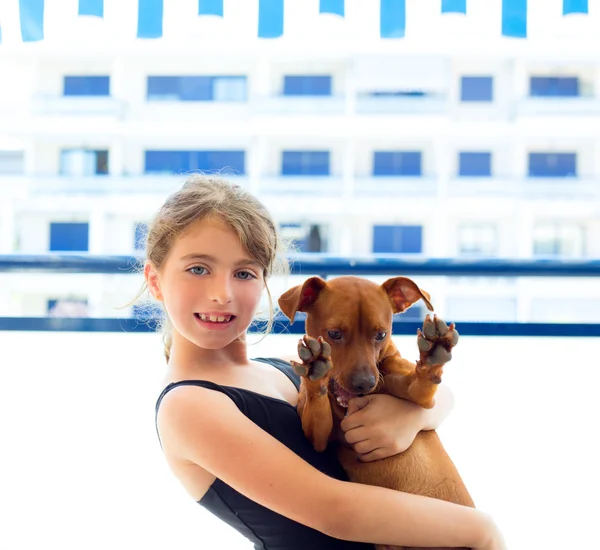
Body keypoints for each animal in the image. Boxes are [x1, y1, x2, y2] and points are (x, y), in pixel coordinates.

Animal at [278, 276, 476, 550]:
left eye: (381, 335)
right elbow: (317, 412)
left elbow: (422, 384)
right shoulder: (317, 436)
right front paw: (315, 369)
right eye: (334, 334)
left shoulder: (419, 395)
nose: (365, 384)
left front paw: (434, 352)